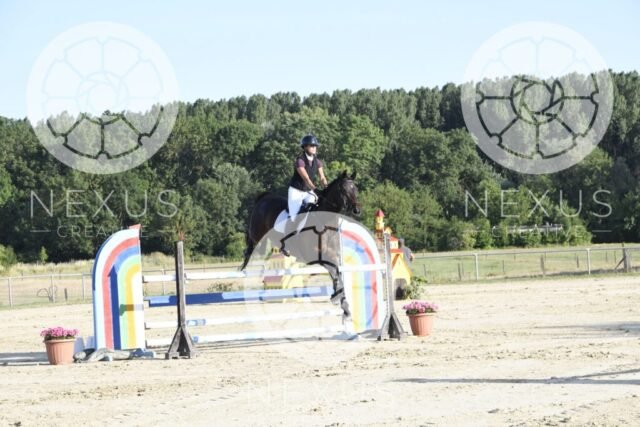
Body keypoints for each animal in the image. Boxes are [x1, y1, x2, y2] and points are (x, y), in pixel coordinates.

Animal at [240, 171, 361, 317]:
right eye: (344, 190)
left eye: (355, 189)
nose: (357, 210)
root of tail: (264, 198)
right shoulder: (316, 256)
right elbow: (334, 271)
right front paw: (337, 298)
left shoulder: (333, 255)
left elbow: (337, 272)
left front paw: (342, 303)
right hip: (257, 234)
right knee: (251, 248)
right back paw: (243, 267)